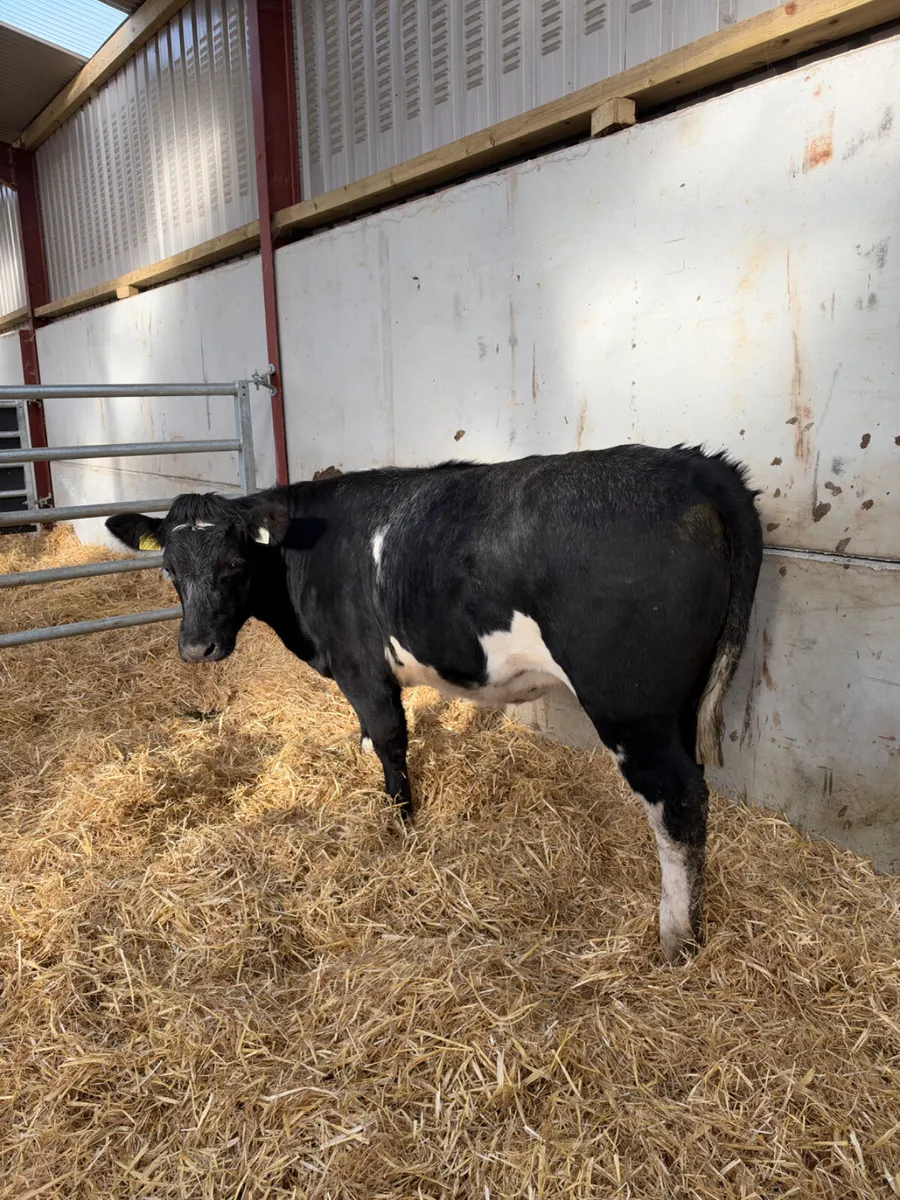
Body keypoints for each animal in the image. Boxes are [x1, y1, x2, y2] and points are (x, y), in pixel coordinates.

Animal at [107, 445, 762, 962]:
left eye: (235, 564)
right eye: (168, 569)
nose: (196, 647)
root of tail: (694, 465)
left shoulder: (361, 666)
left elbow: (391, 738)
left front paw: (400, 822)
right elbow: (372, 736)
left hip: (630, 704)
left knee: (677, 802)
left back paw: (676, 937)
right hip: (676, 705)